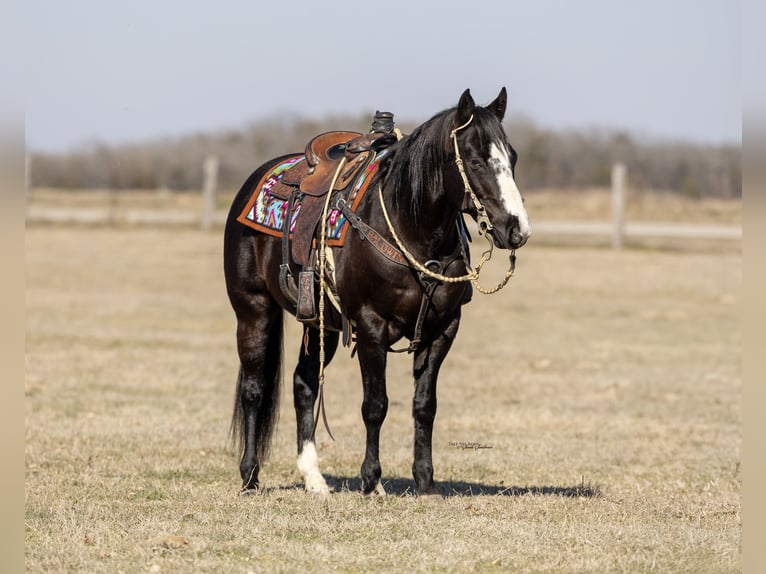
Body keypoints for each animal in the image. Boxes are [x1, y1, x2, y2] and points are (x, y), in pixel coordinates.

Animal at [225, 88, 532, 498]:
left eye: (511, 156)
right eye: (475, 158)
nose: (517, 229)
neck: (412, 231)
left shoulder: (443, 331)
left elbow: (424, 405)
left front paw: (425, 481)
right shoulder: (371, 328)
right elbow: (375, 405)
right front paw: (372, 480)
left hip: (319, 324)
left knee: (304, 384)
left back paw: (314, 478)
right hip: (253, 311)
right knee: (254, 388)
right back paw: (250, 476)